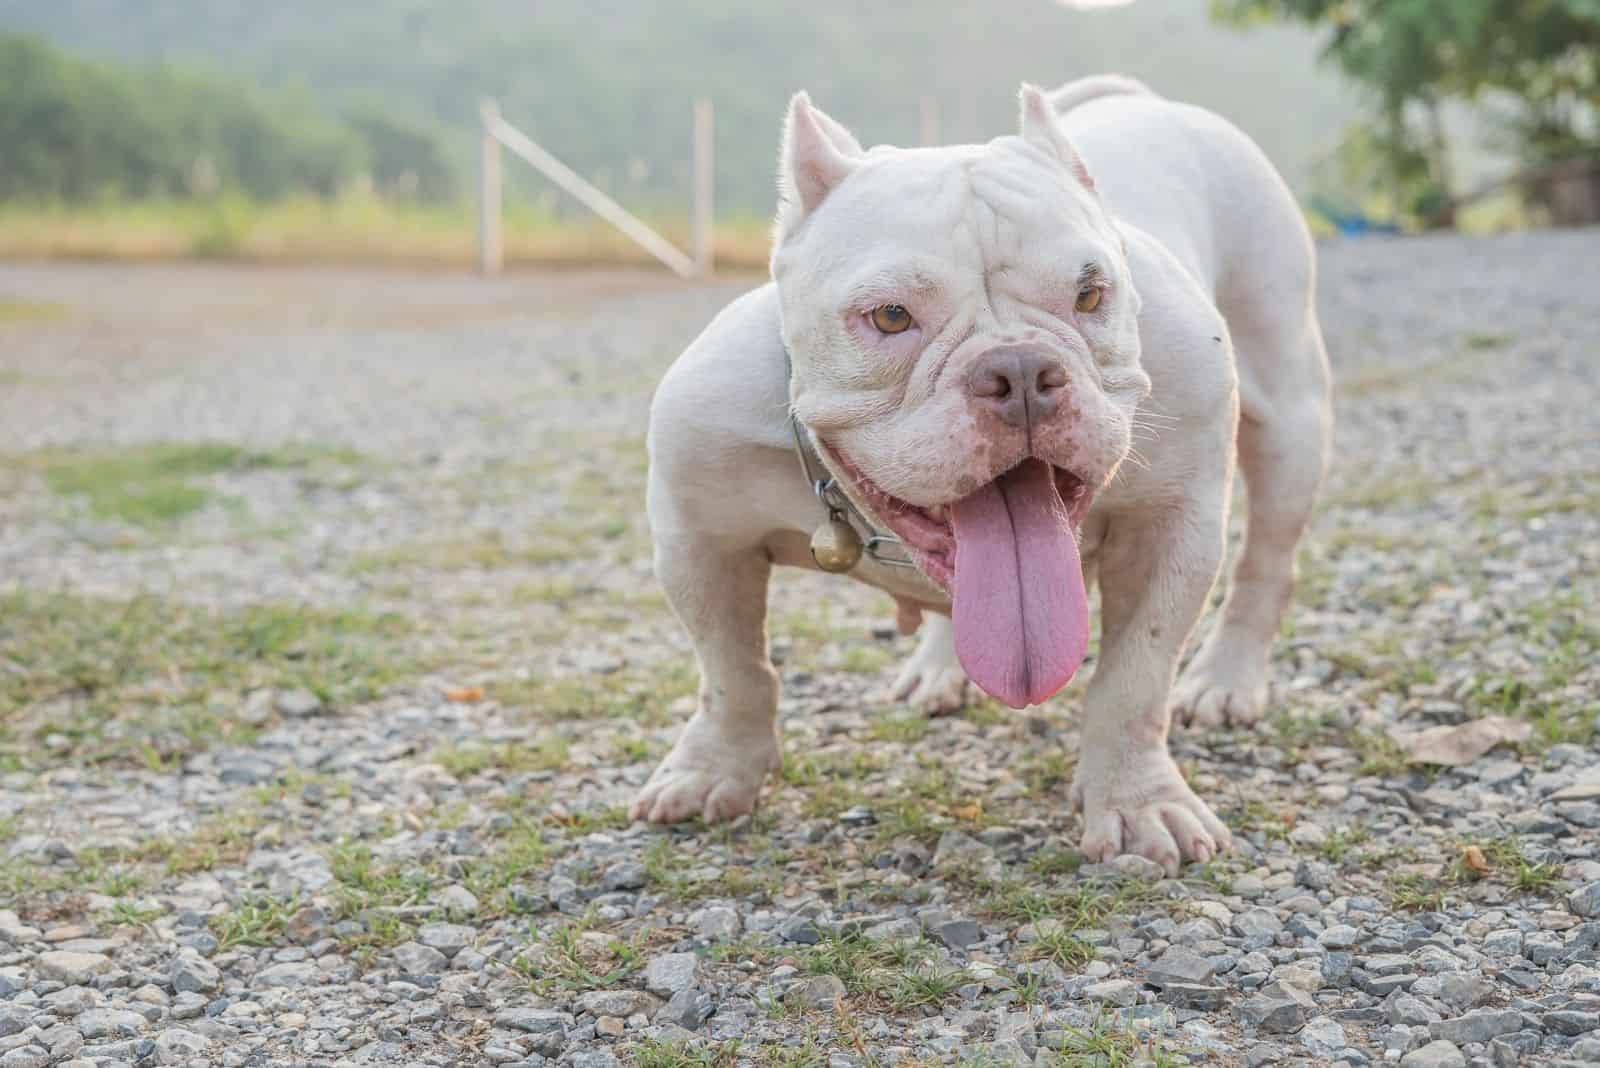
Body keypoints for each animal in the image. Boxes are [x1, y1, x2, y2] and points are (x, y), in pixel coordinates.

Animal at [630, 77, 1331, 876]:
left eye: (1091, 295)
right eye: (890, 316)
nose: (1021, 370)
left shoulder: (1171, 532)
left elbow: (1134, 681)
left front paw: (1137, 803)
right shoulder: (699, 541)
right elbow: (732, 670)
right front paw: (713, 769)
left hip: (1289, 416)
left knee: (1266, 563)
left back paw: (1227, 680)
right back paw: (940, 670)